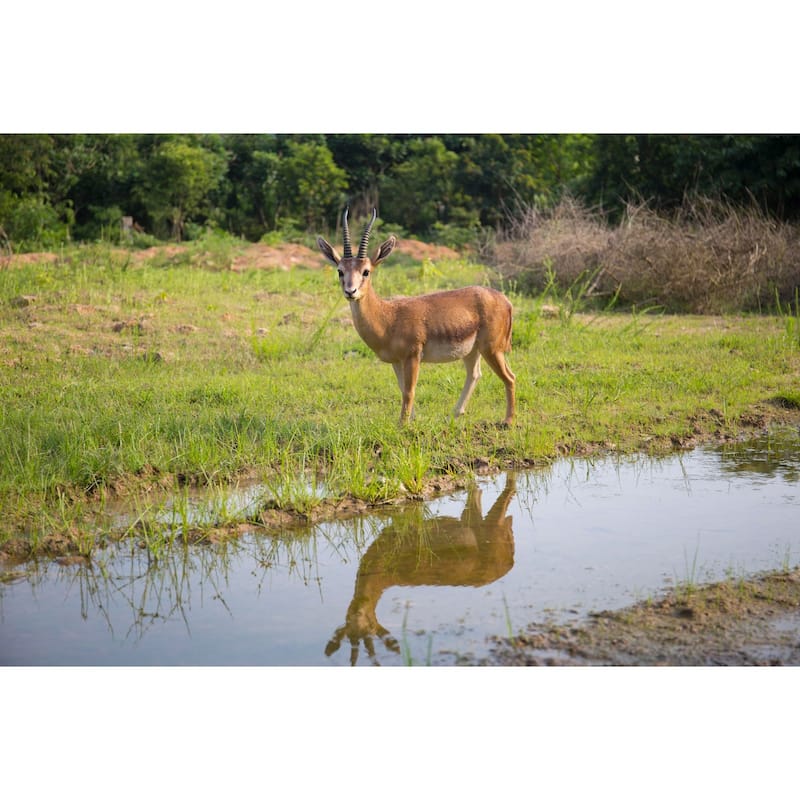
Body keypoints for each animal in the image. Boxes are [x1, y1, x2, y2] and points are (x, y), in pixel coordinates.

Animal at [317, 209, 516, 425]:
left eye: (366, 271)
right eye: (340, 271)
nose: (350, 291)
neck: (388, 318)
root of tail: (504, 300)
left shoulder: (413, 356)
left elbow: (409, 391)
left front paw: (402, 425)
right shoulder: (396, 361)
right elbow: (402, 389)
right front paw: (412, 420)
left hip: (492, 349)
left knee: (510, 377)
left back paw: (507, 421)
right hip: (473, 351)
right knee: (474, 374)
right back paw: (455, 414)